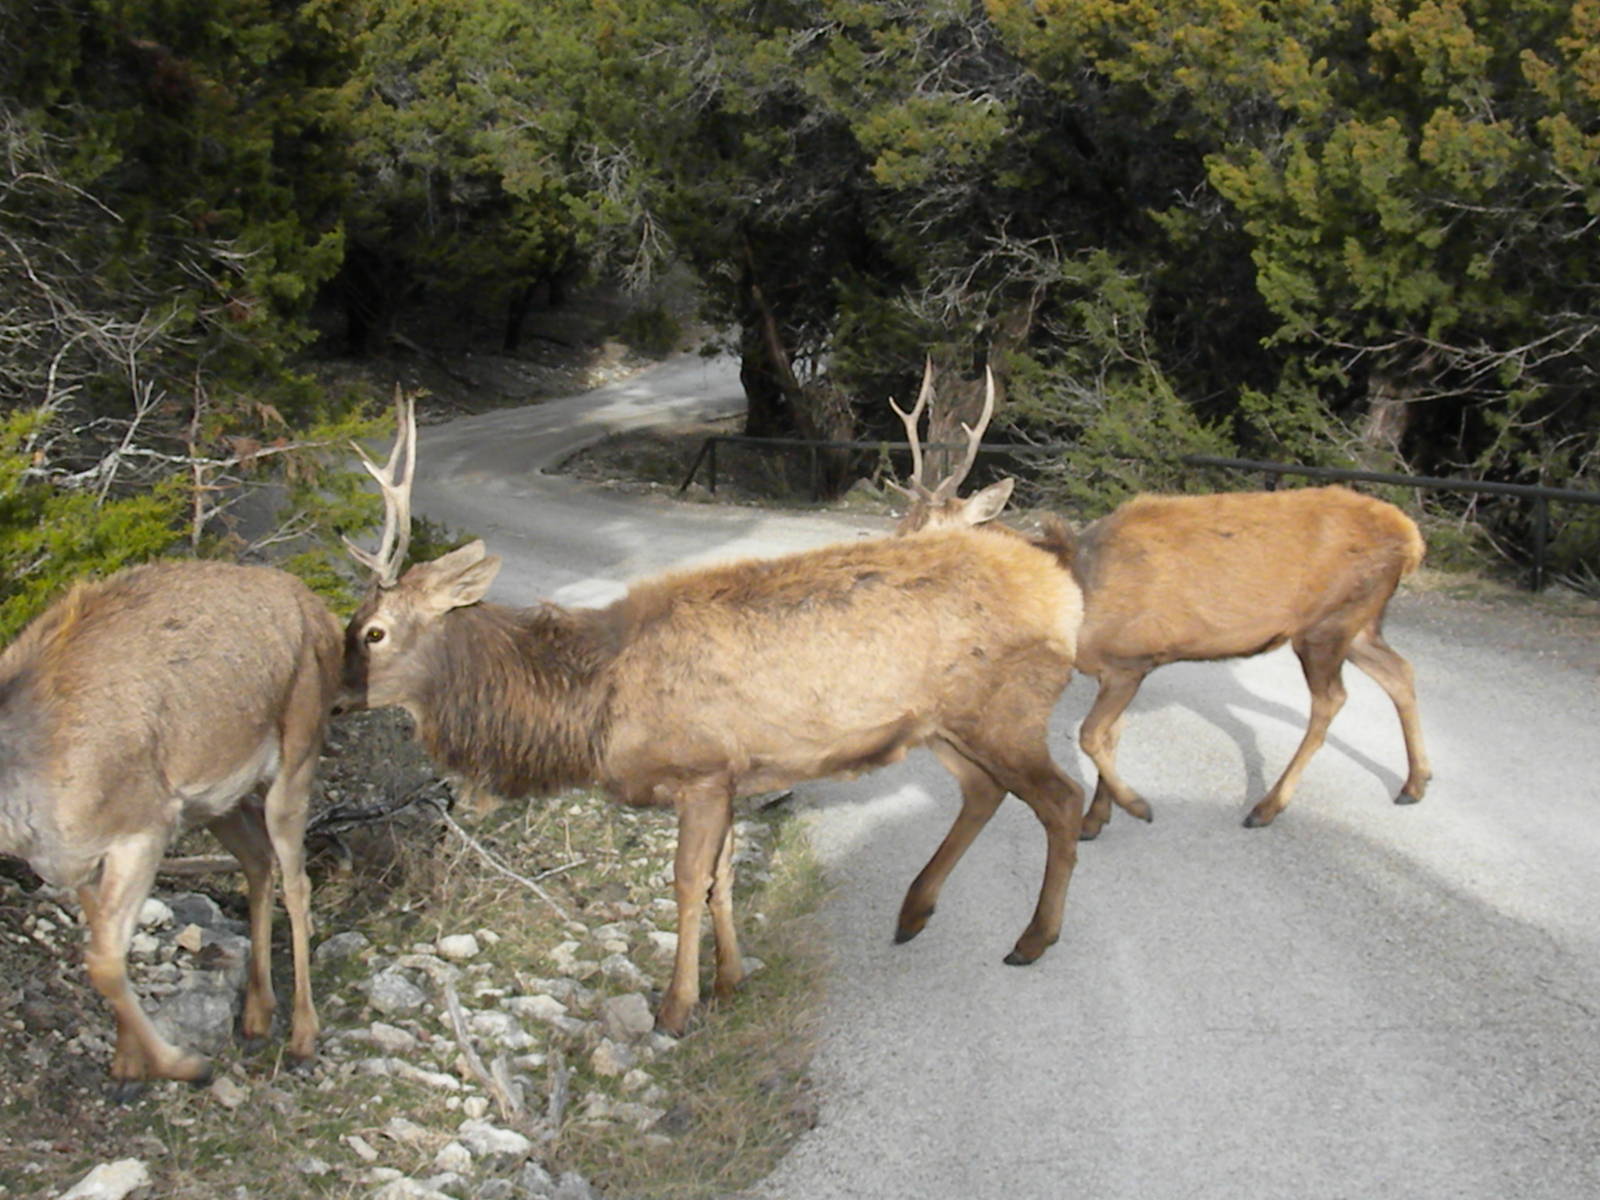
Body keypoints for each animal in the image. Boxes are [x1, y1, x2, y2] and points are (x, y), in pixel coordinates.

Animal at [0, 557, 343, 1095]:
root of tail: (320, 612)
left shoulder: (144, 828)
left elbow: (103, 962)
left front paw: (184, 1064)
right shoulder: (74, 861)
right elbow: (105, 951)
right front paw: (127, 1063)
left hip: (299, 753)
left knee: (297, 880)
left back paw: (304, 1035)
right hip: (218, 800)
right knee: (257, 857)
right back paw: (257, 1012)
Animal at [339, 396, 1089, 1035]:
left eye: (373, 632)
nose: (338, 696)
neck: (592, 703)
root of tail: (1062, 587)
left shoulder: (698, 772)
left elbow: (685, 883)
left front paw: (675, 1007)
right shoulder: (732, 777)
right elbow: (721, 879)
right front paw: (730, 981)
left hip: (1007, 710)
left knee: (1061, 799)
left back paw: (1032, 939)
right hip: (946, 727)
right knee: (985, 792)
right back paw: (913, 913)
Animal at [888, 358, 1431, 836]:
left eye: (933, 539)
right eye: (901, 529)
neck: (1078, 596)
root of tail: (1411, 539)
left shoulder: (1133, 657)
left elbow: (1090, 736)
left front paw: (1136, 806)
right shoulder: (1117, 670)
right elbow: (1110, 736)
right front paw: (1096, 819)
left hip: (1326, 624)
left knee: (1332, 700)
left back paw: (1266, 807)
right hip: (1360, 621)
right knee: (1400, 672)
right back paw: (1414, 784)